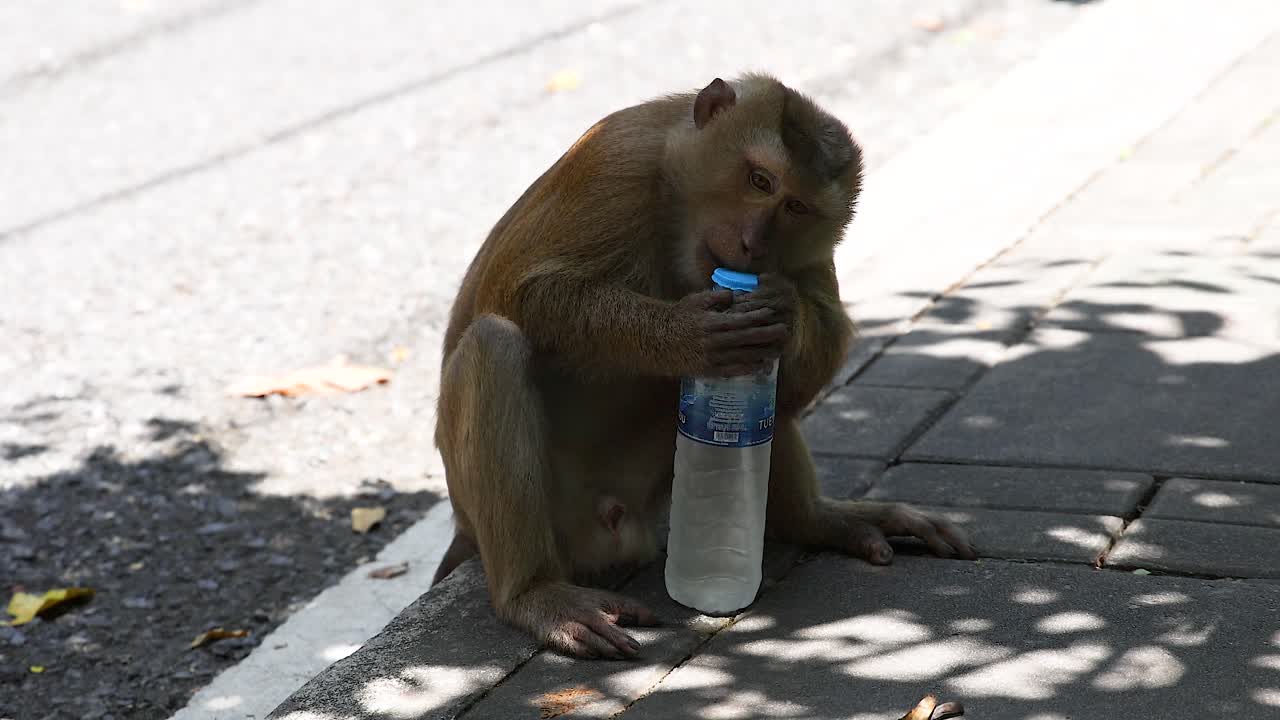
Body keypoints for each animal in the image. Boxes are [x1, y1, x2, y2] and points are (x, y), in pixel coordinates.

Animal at [432, 73, 977, 660]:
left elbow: (822, 340)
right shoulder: (614, 162)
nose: (753, 244)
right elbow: (522, 290)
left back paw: (814, 519)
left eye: (796, 207)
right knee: (492, 343)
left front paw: (785, 310)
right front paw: (684, 335)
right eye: (759, 179)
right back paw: (535, 594)